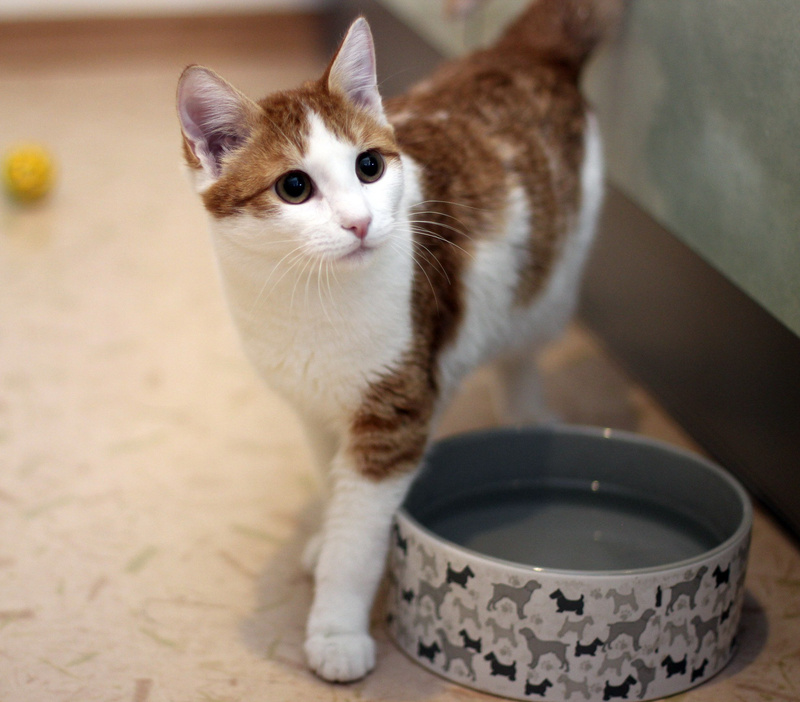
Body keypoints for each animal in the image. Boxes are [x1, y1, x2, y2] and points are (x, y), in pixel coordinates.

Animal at [177, 0, 622, 683]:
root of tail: (520, 51)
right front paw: (325, 534)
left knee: (522, 352)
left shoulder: (393, 413)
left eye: (370, 166)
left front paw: (336, 628)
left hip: (551, 279)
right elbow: (334, 485)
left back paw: (525, 411)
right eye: (294, 187)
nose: (360, 223)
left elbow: (357, 539)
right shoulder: (311, 403)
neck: (309, 301)